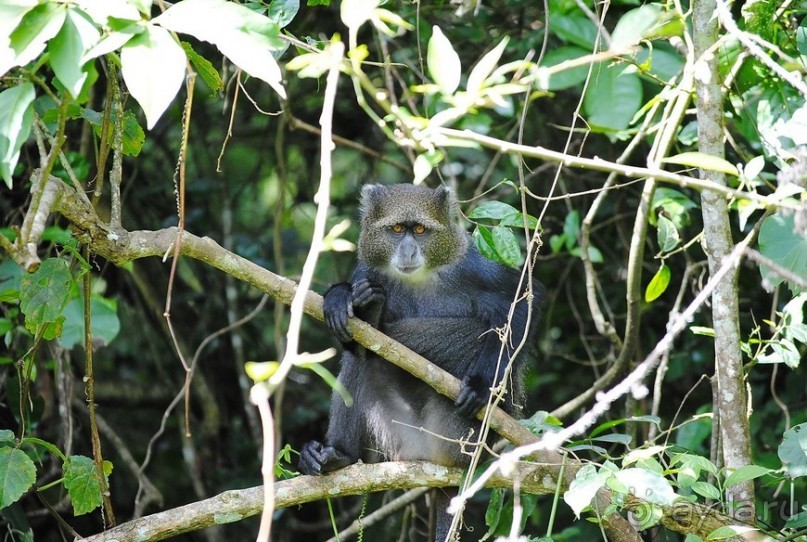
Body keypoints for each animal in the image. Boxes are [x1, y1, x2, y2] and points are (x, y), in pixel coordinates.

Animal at [296, 184, 544, 542]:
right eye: (398, 229)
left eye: (421, 231)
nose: (409, 251)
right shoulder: (368, 271)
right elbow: (352, 339)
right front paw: (339, 297)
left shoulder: (472, 267)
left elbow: (525, 301)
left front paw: (482, 386)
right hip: (400, 433)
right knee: (360, 359)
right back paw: (338, 456)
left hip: (458, 436)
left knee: (473, 331)